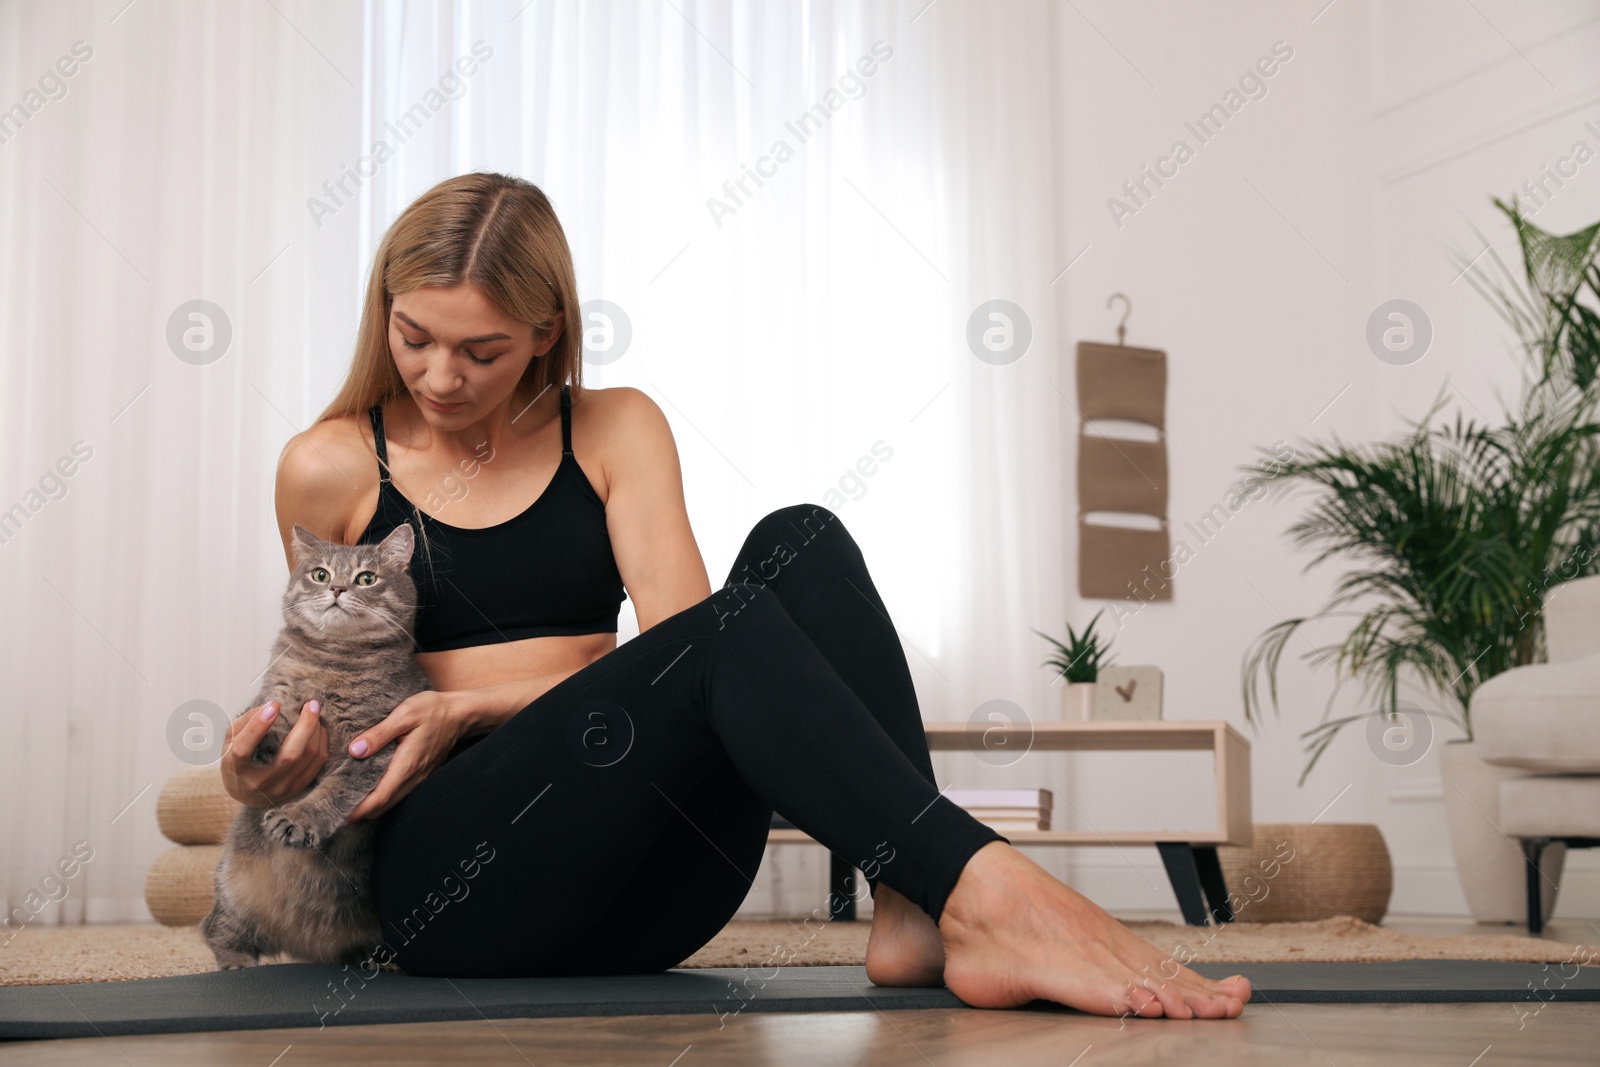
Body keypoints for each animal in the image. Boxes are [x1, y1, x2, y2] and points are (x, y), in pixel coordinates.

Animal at [200, 521, 432, 972]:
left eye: (367, 578)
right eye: (320, 574)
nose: (338, 588)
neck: (333, 664)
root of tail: (308, 946)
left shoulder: (373, 745)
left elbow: (334, 790)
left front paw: (298, 819)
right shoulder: (274, 697)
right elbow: (267, 714)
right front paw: (264, 739)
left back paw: (377, 961)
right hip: (231, 889)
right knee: (217, 930)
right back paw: (237, 963)